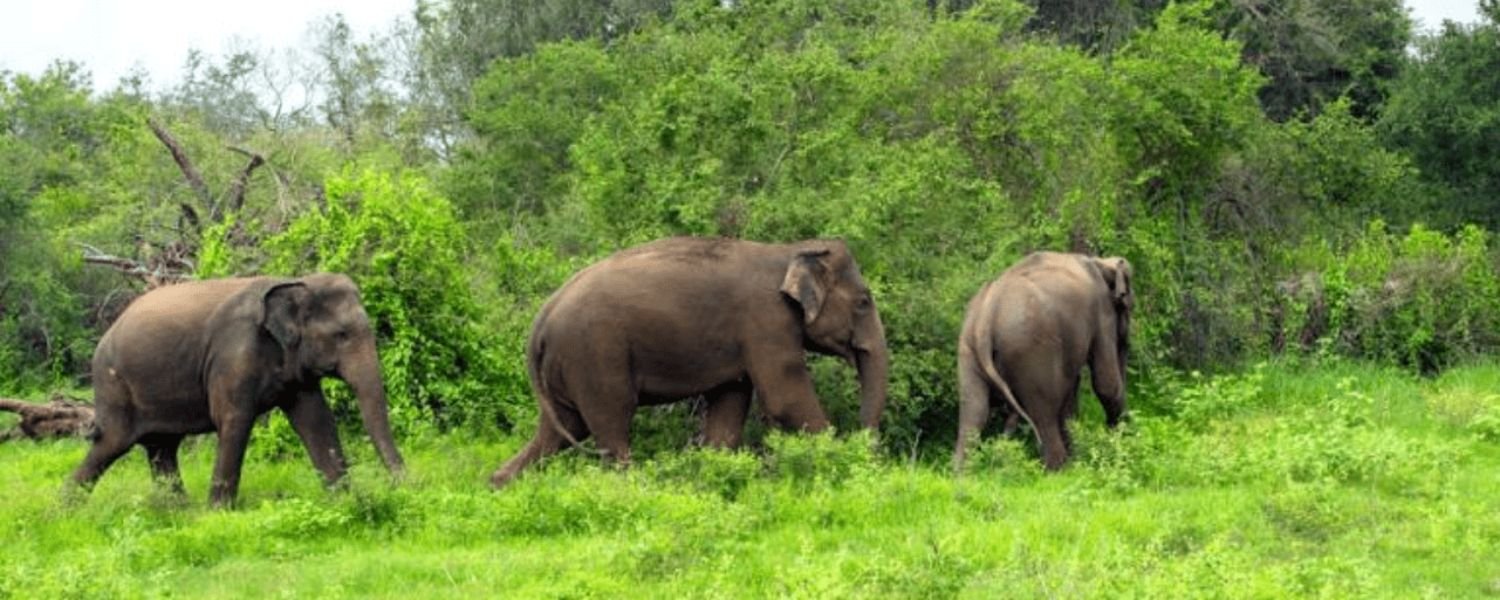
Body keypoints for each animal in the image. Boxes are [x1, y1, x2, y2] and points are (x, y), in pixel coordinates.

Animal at [71, 273, 405, 507]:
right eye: (341, 335)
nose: (403, 486)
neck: (297, 280)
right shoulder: (233, 355)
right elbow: (234, 420)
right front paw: (218, 513)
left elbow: (316, 420)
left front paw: (346, 499)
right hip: (114, 387)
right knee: (111, 443)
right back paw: (65, 513)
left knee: (162, 448)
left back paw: (176, 510)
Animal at [492, 235, 888, 486]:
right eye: (864, 302)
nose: (864, 445)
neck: (791, 250)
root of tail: (541, 320)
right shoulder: (766, 322)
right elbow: (784, 399)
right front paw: (840, 462)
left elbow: (729, 405)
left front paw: (715, 472)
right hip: (593, 356)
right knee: (610, 423)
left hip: (566, 366)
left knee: (561, 430)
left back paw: (498, 485)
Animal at [954, 250, 1128, 471]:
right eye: (1127, 303)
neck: (1100, 261)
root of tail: (986, 318)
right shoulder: (1102, 310)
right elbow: (1106, 384)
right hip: (1030, 349)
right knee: (1044, 411)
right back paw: (1060, 470)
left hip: (968, 348)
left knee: (974, 410)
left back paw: (961, 473)